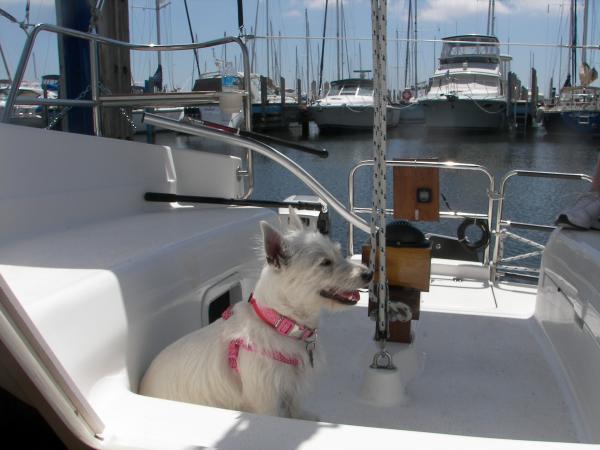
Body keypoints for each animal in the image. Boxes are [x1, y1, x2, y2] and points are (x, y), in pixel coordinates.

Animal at [141, 210, 372, 418]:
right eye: (325, 263)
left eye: (338, 253)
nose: (369, 273)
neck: (281, 323)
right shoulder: (266, 401)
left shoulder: (292, 389)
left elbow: (295, 411)